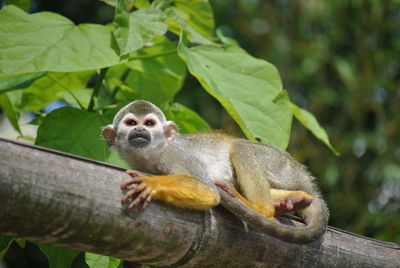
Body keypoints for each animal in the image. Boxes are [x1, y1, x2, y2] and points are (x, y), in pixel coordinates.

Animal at [102, 100, 328, 243]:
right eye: (131, 123)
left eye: (149, 124)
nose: (140, 130)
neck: (150, 156)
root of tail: (307, 180)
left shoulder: (173, 154)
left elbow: (208, 191)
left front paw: (152, 184)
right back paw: (292, 200)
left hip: (281, 165)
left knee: (241, 148)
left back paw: (262, 207)